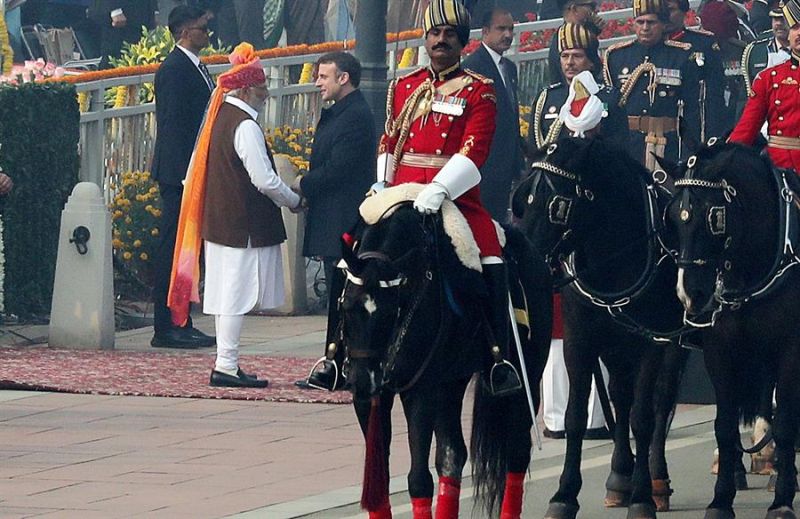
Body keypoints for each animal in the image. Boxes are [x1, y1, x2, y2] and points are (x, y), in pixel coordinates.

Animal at [334, 195, 552, 519]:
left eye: (390, 313)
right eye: (346, 306)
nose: (362, 381)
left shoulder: (421, 388)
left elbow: (419, 480)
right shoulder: (373, 397)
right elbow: (380, 481)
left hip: (527, 377)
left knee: (516, 449)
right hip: (451, 381)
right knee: (452, 454)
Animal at [512, 137, 692, 519]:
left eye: (557, 207)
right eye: (521, 201)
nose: (524, 269)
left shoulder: (653, 342)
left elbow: (643, 416)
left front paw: (641, 498)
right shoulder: (579, 342)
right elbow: (576, 416)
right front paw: (564, 495)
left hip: (671, 346)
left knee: (660, 401)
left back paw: (656, 480)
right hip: (616, 346)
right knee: (620, 397)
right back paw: (620, 476)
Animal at [660, 140, 796, 519]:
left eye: (714, 217)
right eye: (672, 217)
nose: (689, 294)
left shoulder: (789, 350)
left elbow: (786, 422)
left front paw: (782, 500)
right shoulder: (721, 350)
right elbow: (724, 425)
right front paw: (720, 500)